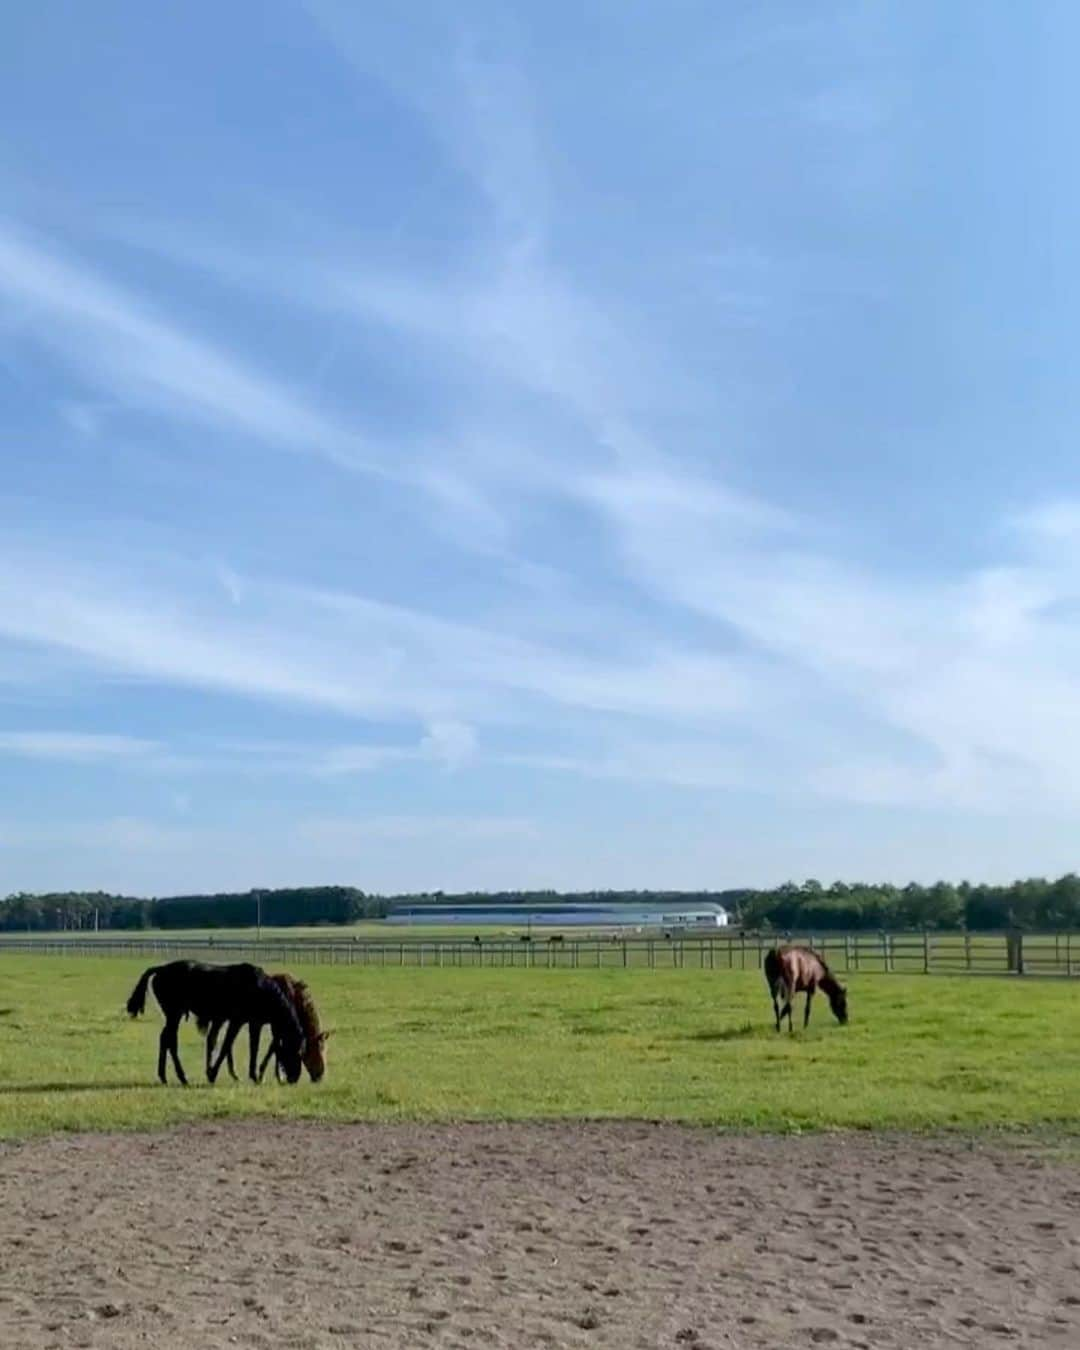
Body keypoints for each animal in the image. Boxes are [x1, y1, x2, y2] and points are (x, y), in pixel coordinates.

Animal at [126, 961, 306, 1085]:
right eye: (296, 1052)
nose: (294, 1078)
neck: (261, 990)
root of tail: (161, 968)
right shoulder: (237, 1021)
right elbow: (227, 1045)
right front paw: (213, 1074)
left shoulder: (255, 1024)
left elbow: (253, 1048)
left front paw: (253, 1076)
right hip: (174, 1014)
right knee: (170, 1040)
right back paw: (181, 1077)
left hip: (173, 1016)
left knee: (165, 1039)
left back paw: (164, 1076)